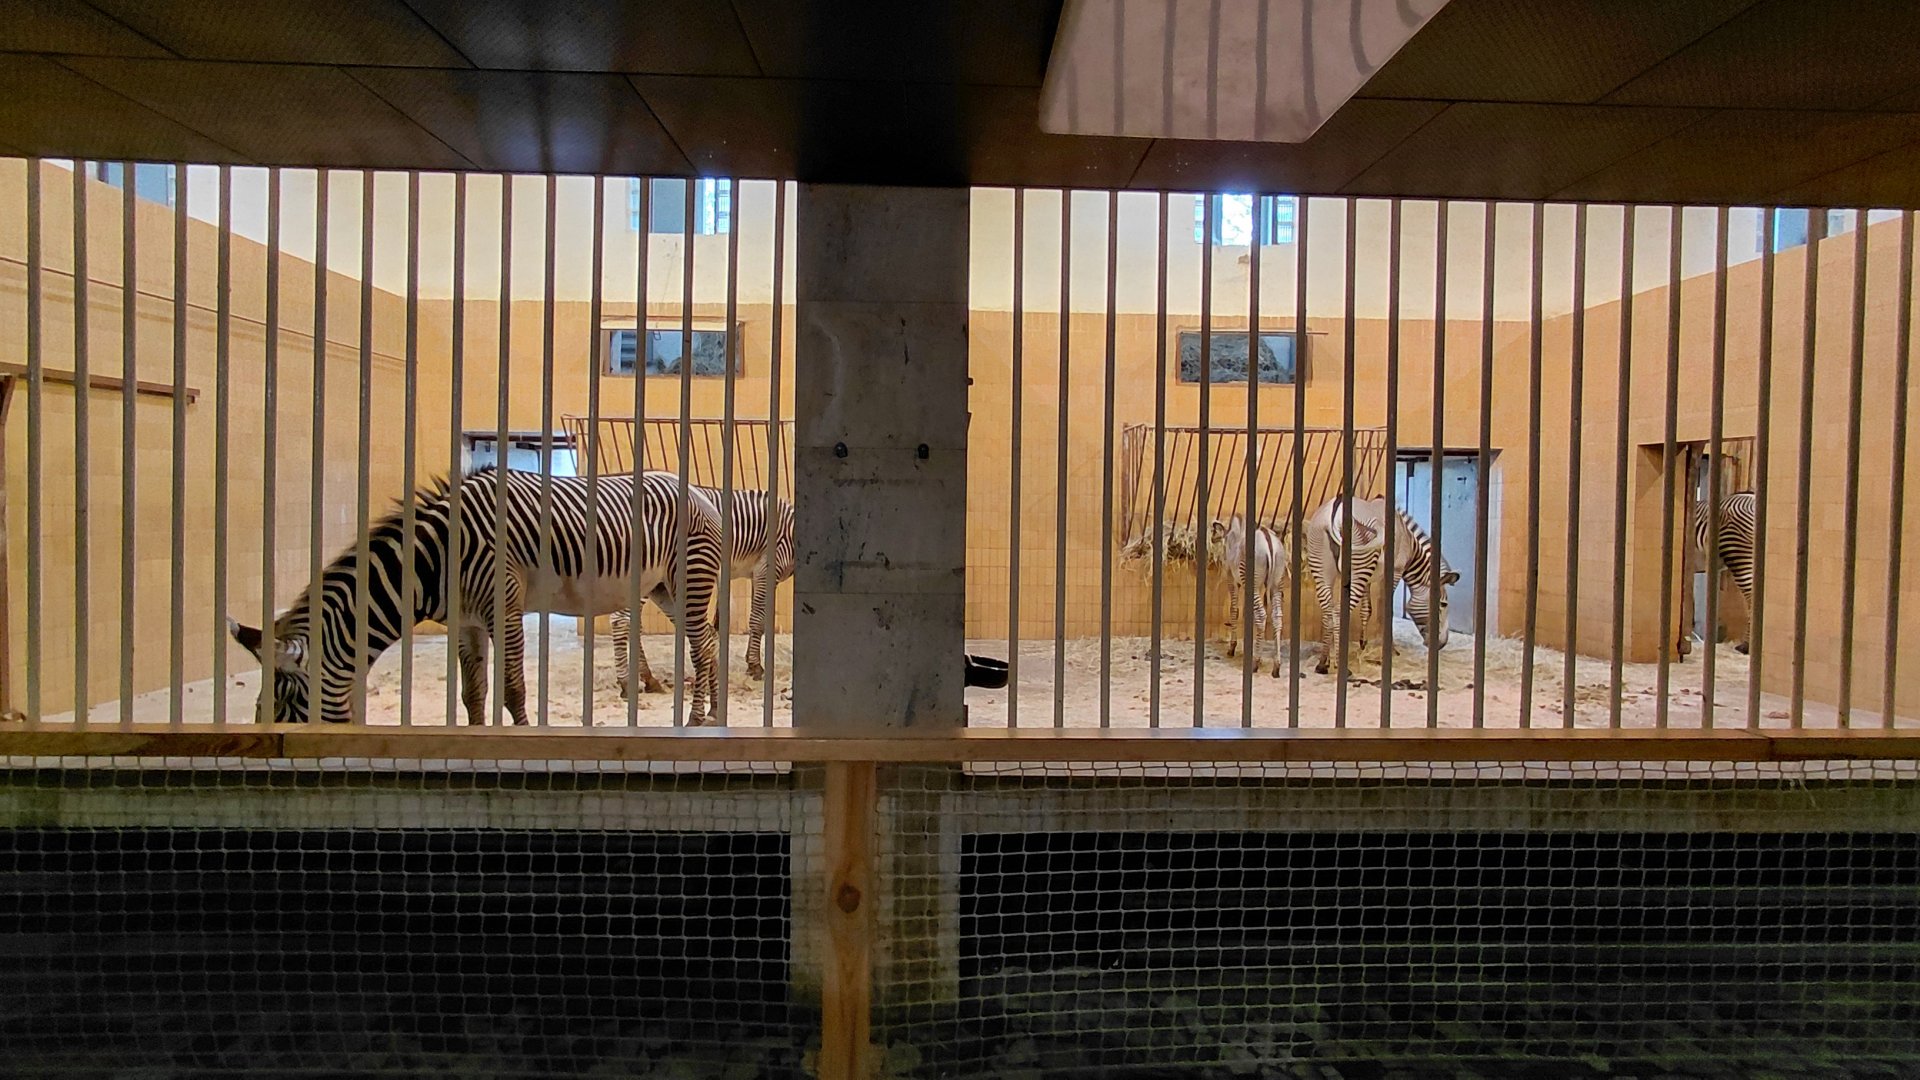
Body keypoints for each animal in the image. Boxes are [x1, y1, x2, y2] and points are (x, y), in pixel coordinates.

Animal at [227, 466, 728, 726]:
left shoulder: (502, 603)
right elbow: (473, 692)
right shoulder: (466, 621)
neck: (433, 561)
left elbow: (513, 690)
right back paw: (713, 713)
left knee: (702, 647)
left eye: (287, 708)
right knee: (706, 644)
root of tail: (696, 488)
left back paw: (697, 718)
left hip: (689, 578)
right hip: (662, 589)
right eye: (257, 710)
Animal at [609, 487, 796, 693]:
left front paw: (749, 661)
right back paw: (626, 682)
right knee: (622, 620)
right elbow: (758, 620)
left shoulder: (756, 574)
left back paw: (649, 678)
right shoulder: (767, 568)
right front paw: (755, 666)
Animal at [1208, 516, 1289, 675]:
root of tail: (1268, 539)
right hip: (1276, 582)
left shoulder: (1232, 580)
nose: (1212, 539)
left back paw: (1255, 663)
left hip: (1254, 581)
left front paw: (1232, 647)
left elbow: (1234, 610)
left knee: (1261, 615)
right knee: (1276, 616)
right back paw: (1276, 666)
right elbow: (1247, 613)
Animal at [1303, 495, 1458, 675]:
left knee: (1327, 611)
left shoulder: (1368, 579)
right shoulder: (1395, 572)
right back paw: (1342, 666)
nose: (1442, 644)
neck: (1409, 542)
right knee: (1338, 611)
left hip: (1323, 568)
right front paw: (1390, 650)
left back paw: (1323, 662)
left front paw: (1363, 644)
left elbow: (1366, 610)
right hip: (1357, 567)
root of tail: (1335, 510)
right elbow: (1386, 611)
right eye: (1443, 604)